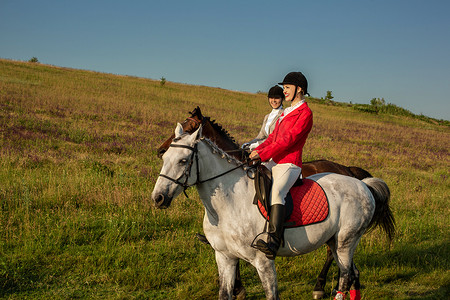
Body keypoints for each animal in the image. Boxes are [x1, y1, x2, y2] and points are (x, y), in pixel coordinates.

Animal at [157, 106, 394, 298]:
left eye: (183, 160)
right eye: (165, 158)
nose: (158, 197)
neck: (227, 205)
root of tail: (361, 183)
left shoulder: (263, 261)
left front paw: (240, 289)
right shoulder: (224, 255)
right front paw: (237, 289)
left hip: (345, 240)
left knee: (344, 272)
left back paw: (320, 287)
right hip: (338, 240)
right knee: (352, 272)